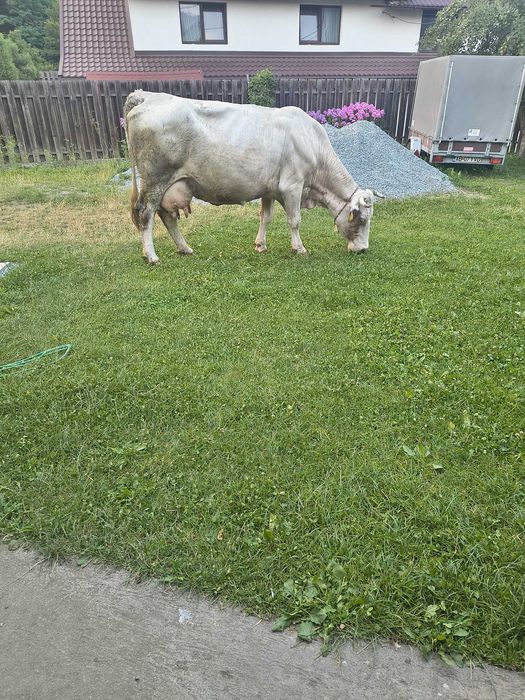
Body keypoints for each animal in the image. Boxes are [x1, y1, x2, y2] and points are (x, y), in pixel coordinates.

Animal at [124, 90, 378, 264]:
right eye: (362, 220)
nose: (364, 249)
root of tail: (147, 96)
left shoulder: (269, 189)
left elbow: (265, 217)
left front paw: (260, 245)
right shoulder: (292, 186)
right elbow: (294, 220)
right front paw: (299, 248)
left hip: (169, 185)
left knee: (167, 217)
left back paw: (184, 248)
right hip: (155, 180)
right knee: (146, 214)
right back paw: (152, 256)